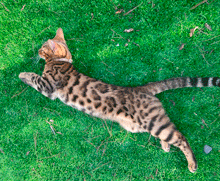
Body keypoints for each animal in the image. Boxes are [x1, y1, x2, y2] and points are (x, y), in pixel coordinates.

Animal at [18, 27, 220, 173]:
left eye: (42, 48)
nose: (37, 51)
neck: (62, 61)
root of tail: (141, 88)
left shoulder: (48, 86)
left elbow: (33, 77)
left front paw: (22, 74)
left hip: (153, 122)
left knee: (180, 137)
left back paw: (192, 164)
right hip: (141, 125)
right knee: (169, 134)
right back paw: (165, 146)